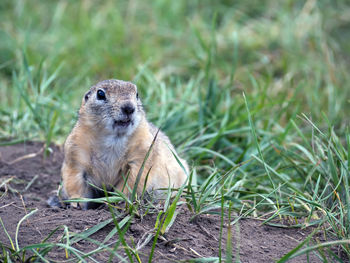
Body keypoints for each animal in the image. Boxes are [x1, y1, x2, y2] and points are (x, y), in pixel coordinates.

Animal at [60, 79, 189, 209]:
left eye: (137, 94)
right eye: (100, 94)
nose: (129, 107)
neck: (112, 139)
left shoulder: (142, 153)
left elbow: (132, 182)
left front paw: (118, 200)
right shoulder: (76, 152)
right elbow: (74, 182)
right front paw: (76, 202)